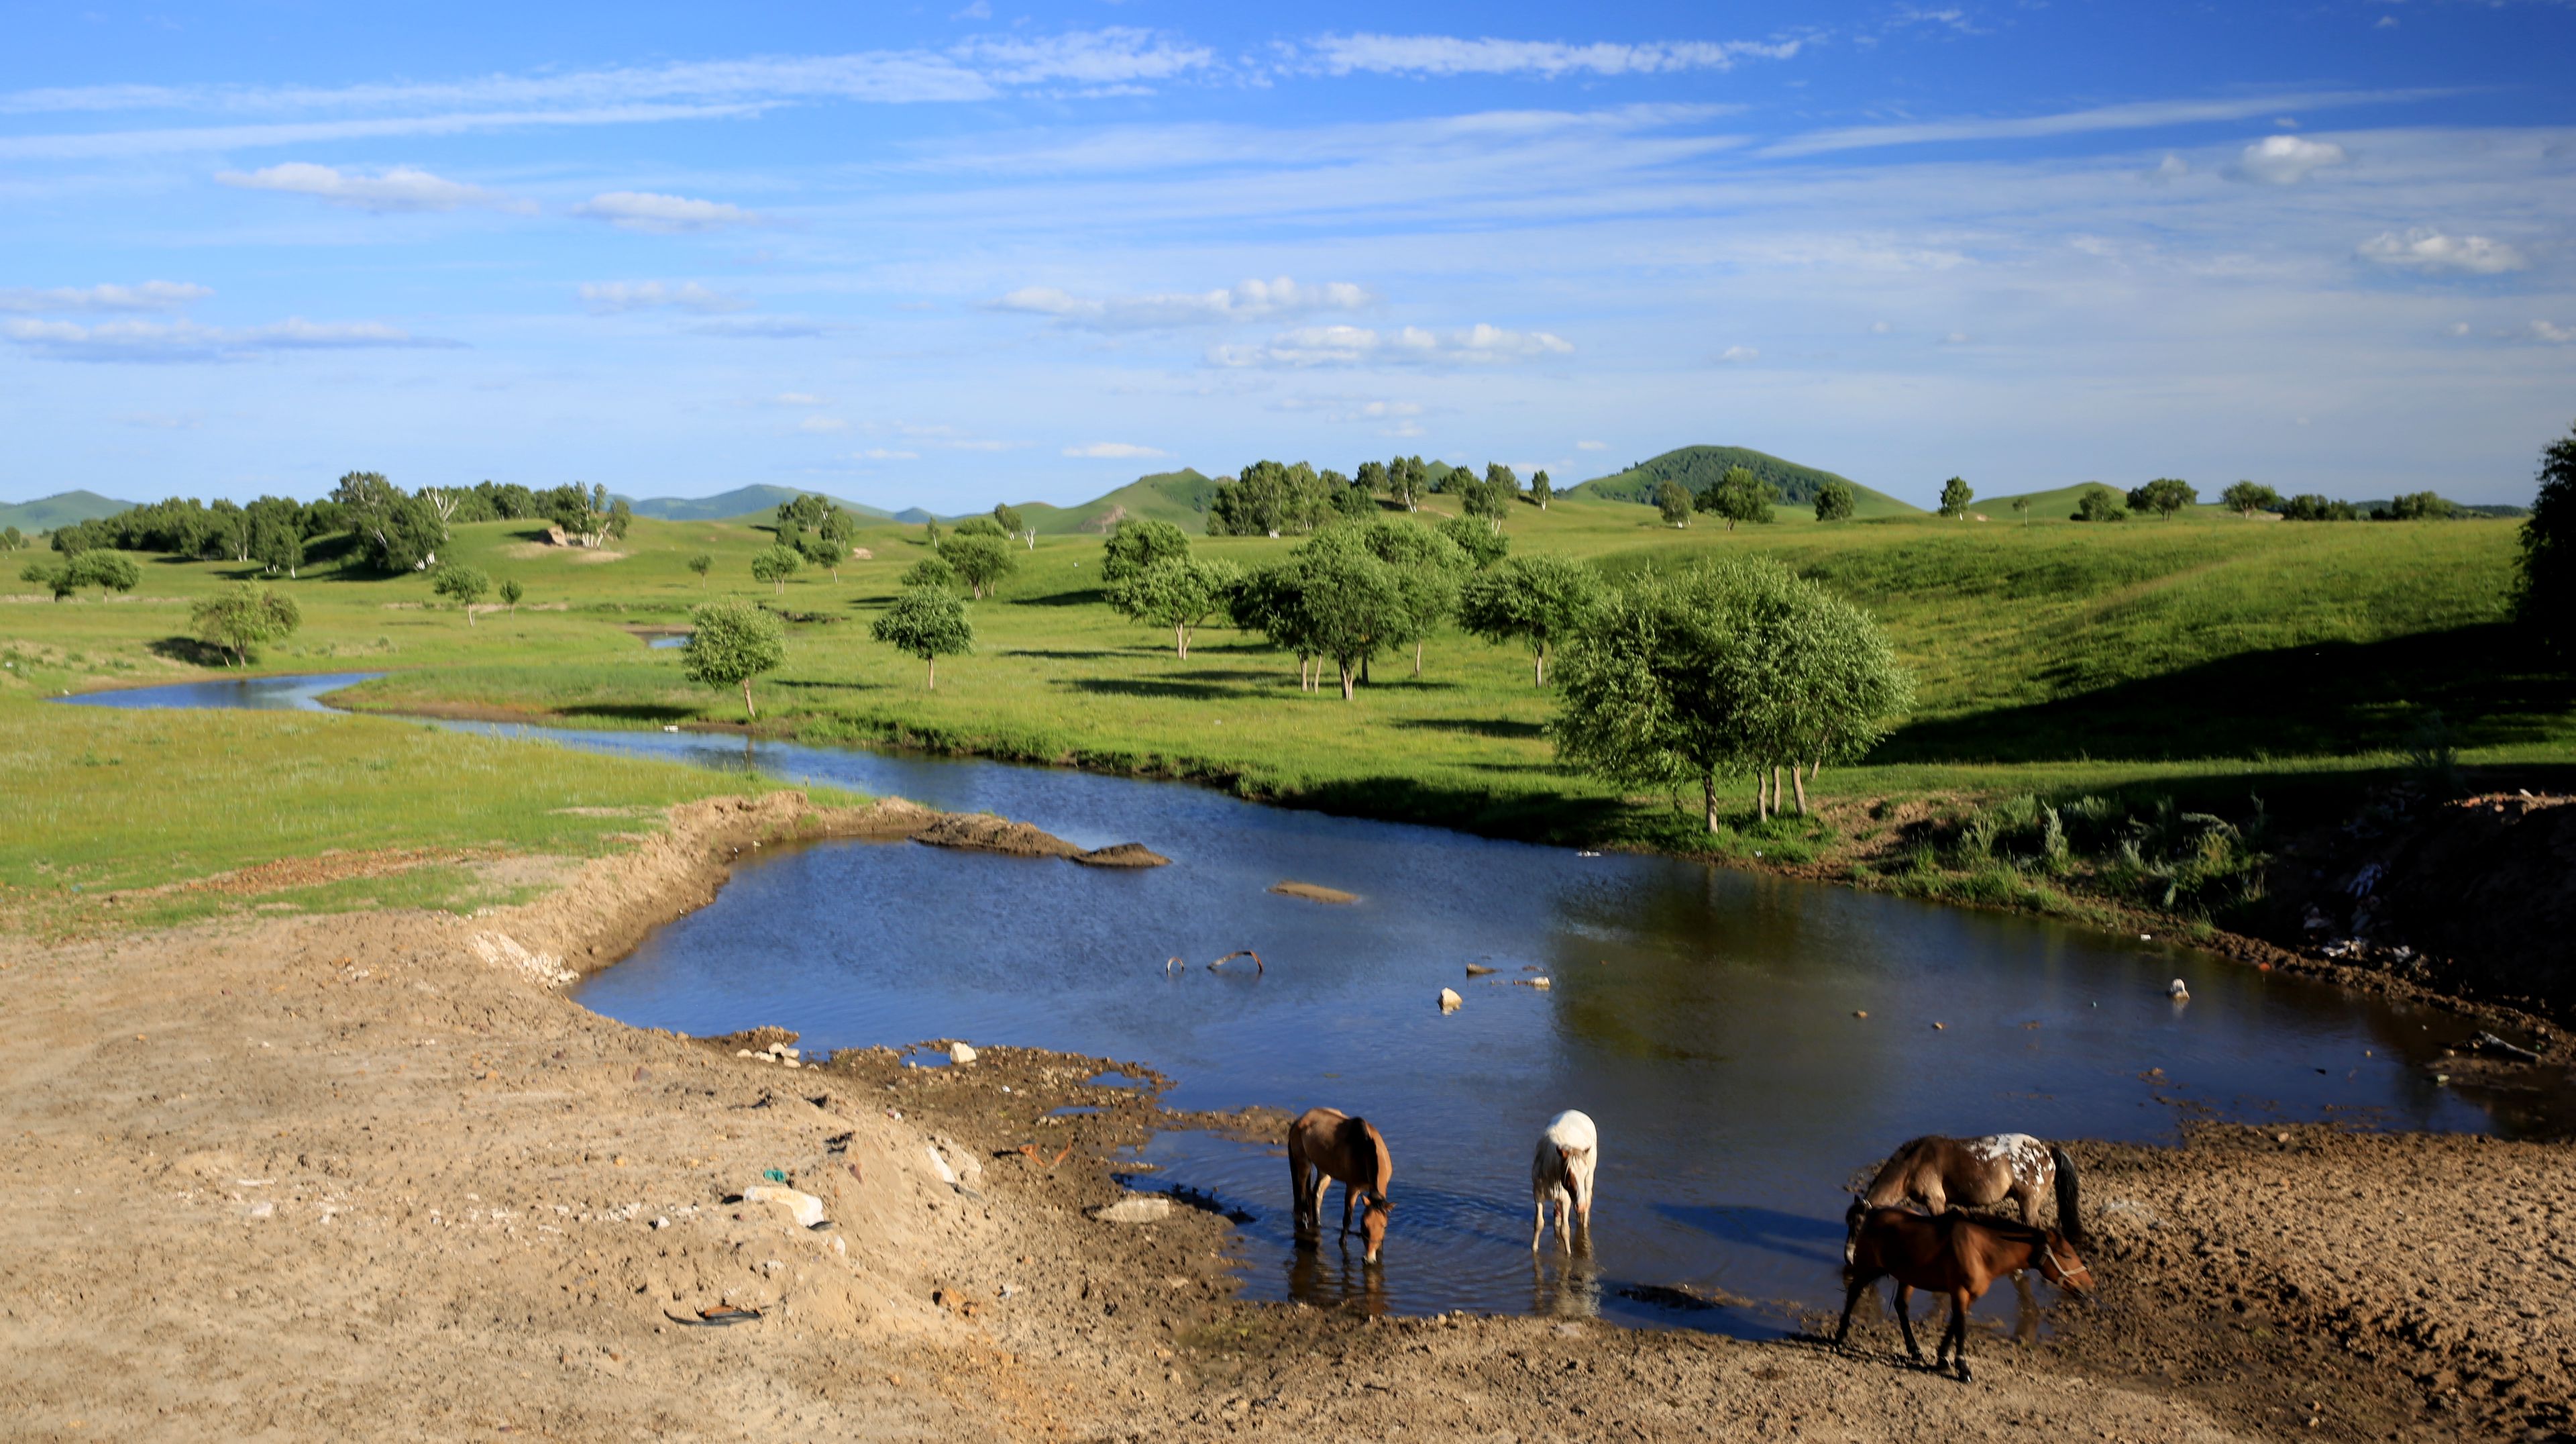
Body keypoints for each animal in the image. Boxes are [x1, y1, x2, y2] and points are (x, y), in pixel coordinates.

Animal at [1283, 1108, 1401, 1258]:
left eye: (1384, 1226)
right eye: (1364, 1224)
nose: (1369, 1259)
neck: (1365, 1150)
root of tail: (1300, 1120)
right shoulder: (1352, 1188)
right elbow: (1347, 1218)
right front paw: (1342, 1242)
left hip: (1324, 1170)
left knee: (1316, 1195)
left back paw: (1318, 1223)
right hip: (1303, 1165)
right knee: (1303, 1195)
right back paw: (1305, 1224)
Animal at [1525, 1108, 1587, 1247]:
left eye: (1585, 1173)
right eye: (1569, 1174)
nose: (1581, 1205)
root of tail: (1575, 1111)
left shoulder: (1567, 1199)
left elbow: (1565, 1230)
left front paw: (1569, 1253)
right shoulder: (1538, 1194)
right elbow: (1539, 1224)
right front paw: (1534, 1249)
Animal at [1834, 1201, 2092, 1382]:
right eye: (2066, 1254)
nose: (2088, 1285)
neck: (1980, 1249)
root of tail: (1872, 1213)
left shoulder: (1971, 1295)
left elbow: (1955, 1324)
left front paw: (1942, 1358)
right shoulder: (1959, 1291)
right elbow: (1961, 1327)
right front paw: (1963, 1368)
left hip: (1907, 1277)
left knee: (1901, 1306)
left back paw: (1915, 1351)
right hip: (1869, 1267)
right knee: (1854, 1292)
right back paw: (1839, 1337)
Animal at [1844, 1129, 2081, 1264]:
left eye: (1859, 1225)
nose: (1849, 1258)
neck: (1914, 1163)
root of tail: (2048, 1151)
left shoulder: (1935, 1202)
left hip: (2028, 1204)